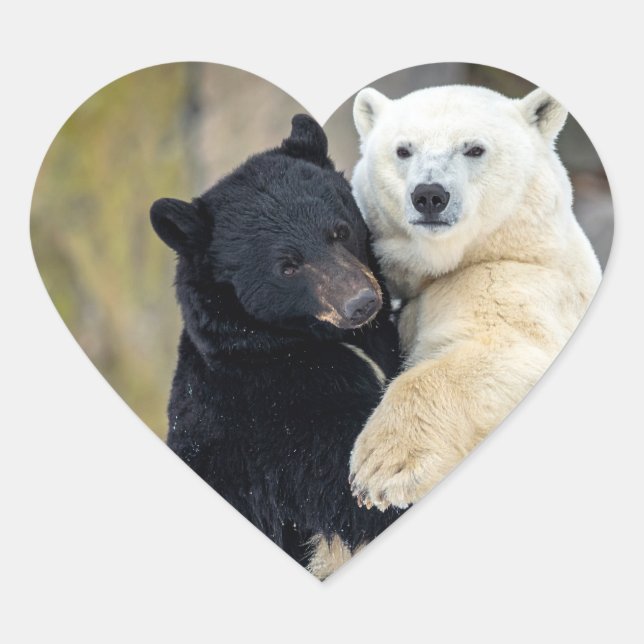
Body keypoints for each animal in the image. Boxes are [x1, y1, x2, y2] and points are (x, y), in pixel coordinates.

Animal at [347, 85, 602, 511]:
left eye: (474, 149)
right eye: (403, 150)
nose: (429, 195)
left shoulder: (515, 284)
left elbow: (503, 353)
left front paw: (381, 471)